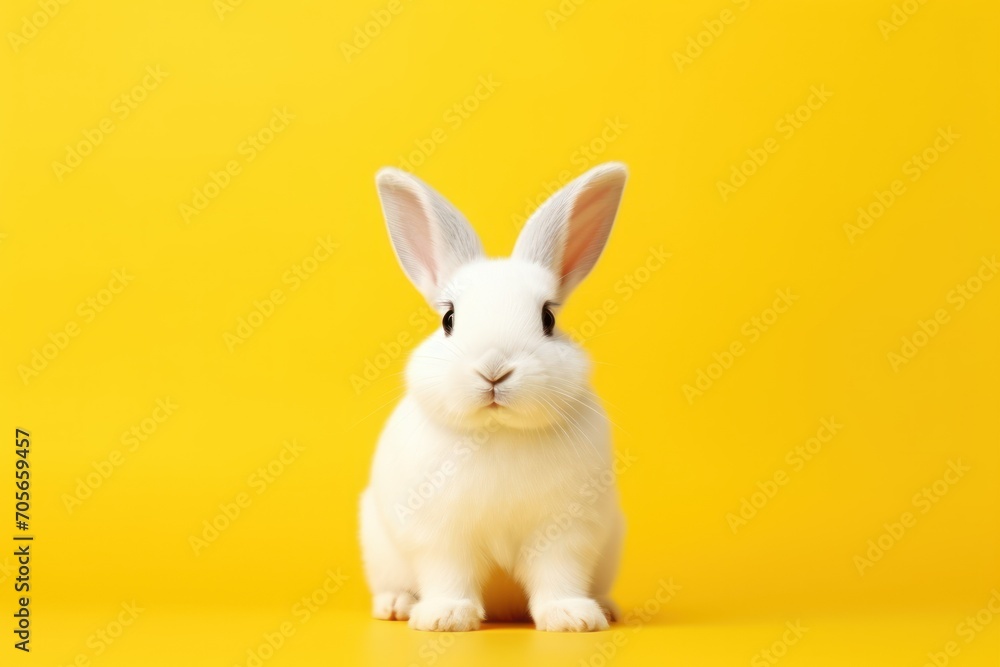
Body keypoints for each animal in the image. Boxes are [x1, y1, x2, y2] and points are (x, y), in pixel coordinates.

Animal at [359, 162, 628, 632]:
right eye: (448, 319)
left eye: (548, 318)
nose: (494, 369)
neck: (496, 431)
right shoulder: (441, 536)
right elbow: (448, 574)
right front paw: (445, 617)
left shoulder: (566, 533)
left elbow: (559, 575)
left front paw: (571, 618)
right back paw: (396, 605)